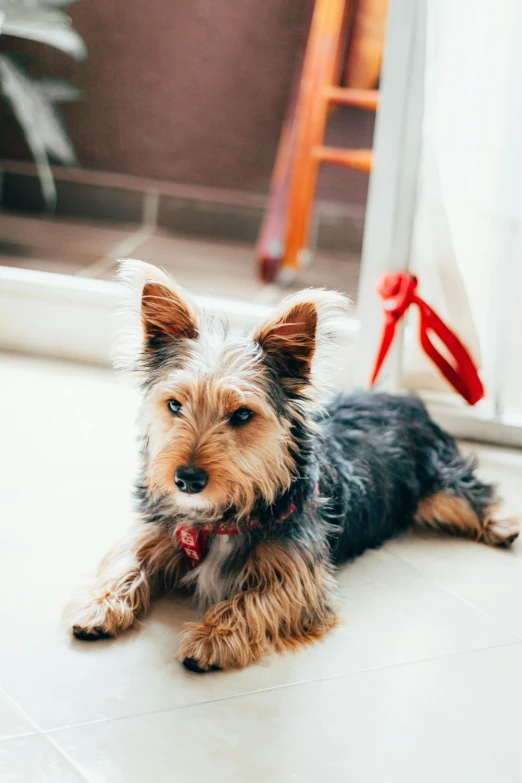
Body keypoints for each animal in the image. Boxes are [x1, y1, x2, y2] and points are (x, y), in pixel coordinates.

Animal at [65, 262, 516, 672]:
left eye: (242, 415)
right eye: (174, 405)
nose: (187, 479)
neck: (219, 516)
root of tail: (399, 398)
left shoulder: (301, 579)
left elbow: (254, 600)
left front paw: (212, 637)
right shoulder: (157, 531)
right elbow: (127, 561)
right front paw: (98, 605)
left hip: (439, 482)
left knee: (470, 494)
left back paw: (503, 525)